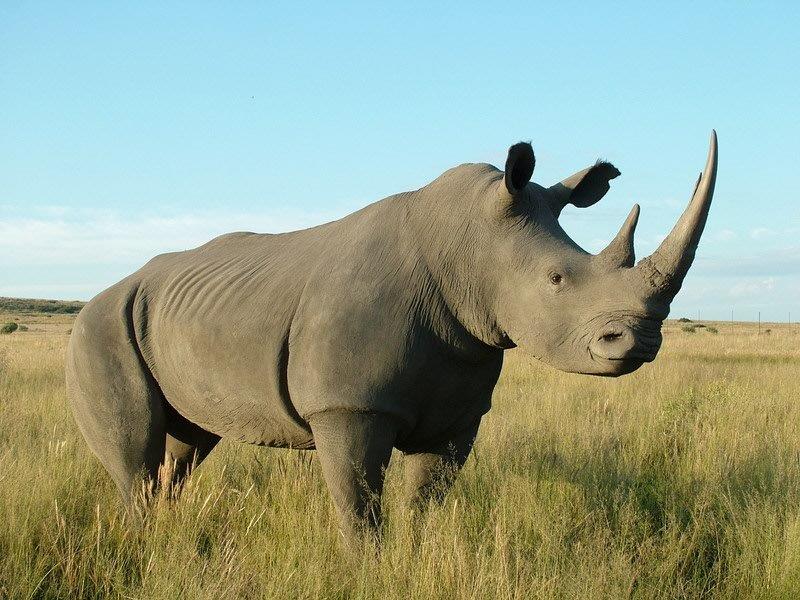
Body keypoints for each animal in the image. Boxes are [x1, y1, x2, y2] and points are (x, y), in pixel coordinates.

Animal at [66, 132, 718, 545]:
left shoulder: (460, 404)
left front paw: (414, 559)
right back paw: (144, 542)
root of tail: (103, 294)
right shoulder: (348, 406)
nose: (639, 343)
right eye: (557, 280)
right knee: (136, 451)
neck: (469, 249)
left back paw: (165, 532)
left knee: (187, 446)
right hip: (98, 327)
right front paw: (365, 570)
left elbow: (424, 504)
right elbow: (360, 512)